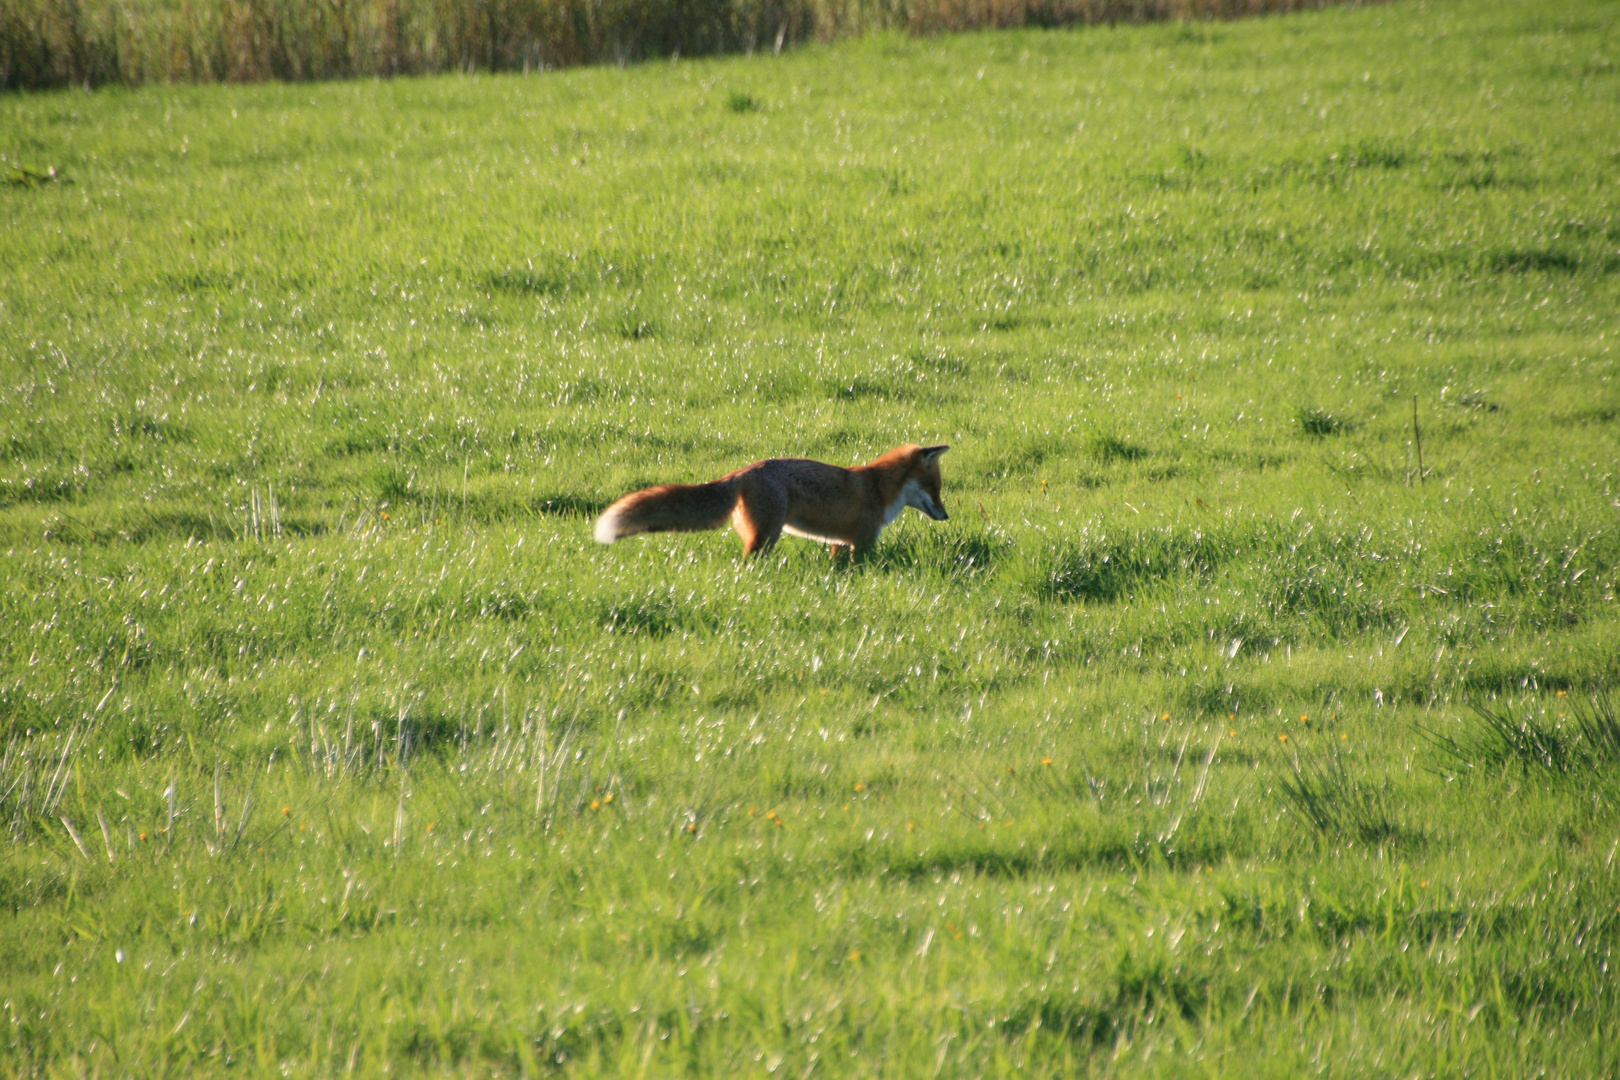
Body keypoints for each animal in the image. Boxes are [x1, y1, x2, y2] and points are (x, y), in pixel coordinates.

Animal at [596, 443, 946, 557]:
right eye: (935, 488)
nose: (946, 515)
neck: (878, 487)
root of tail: (742, 471)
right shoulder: (862, 540)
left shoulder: (841, 541)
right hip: (766, 535)